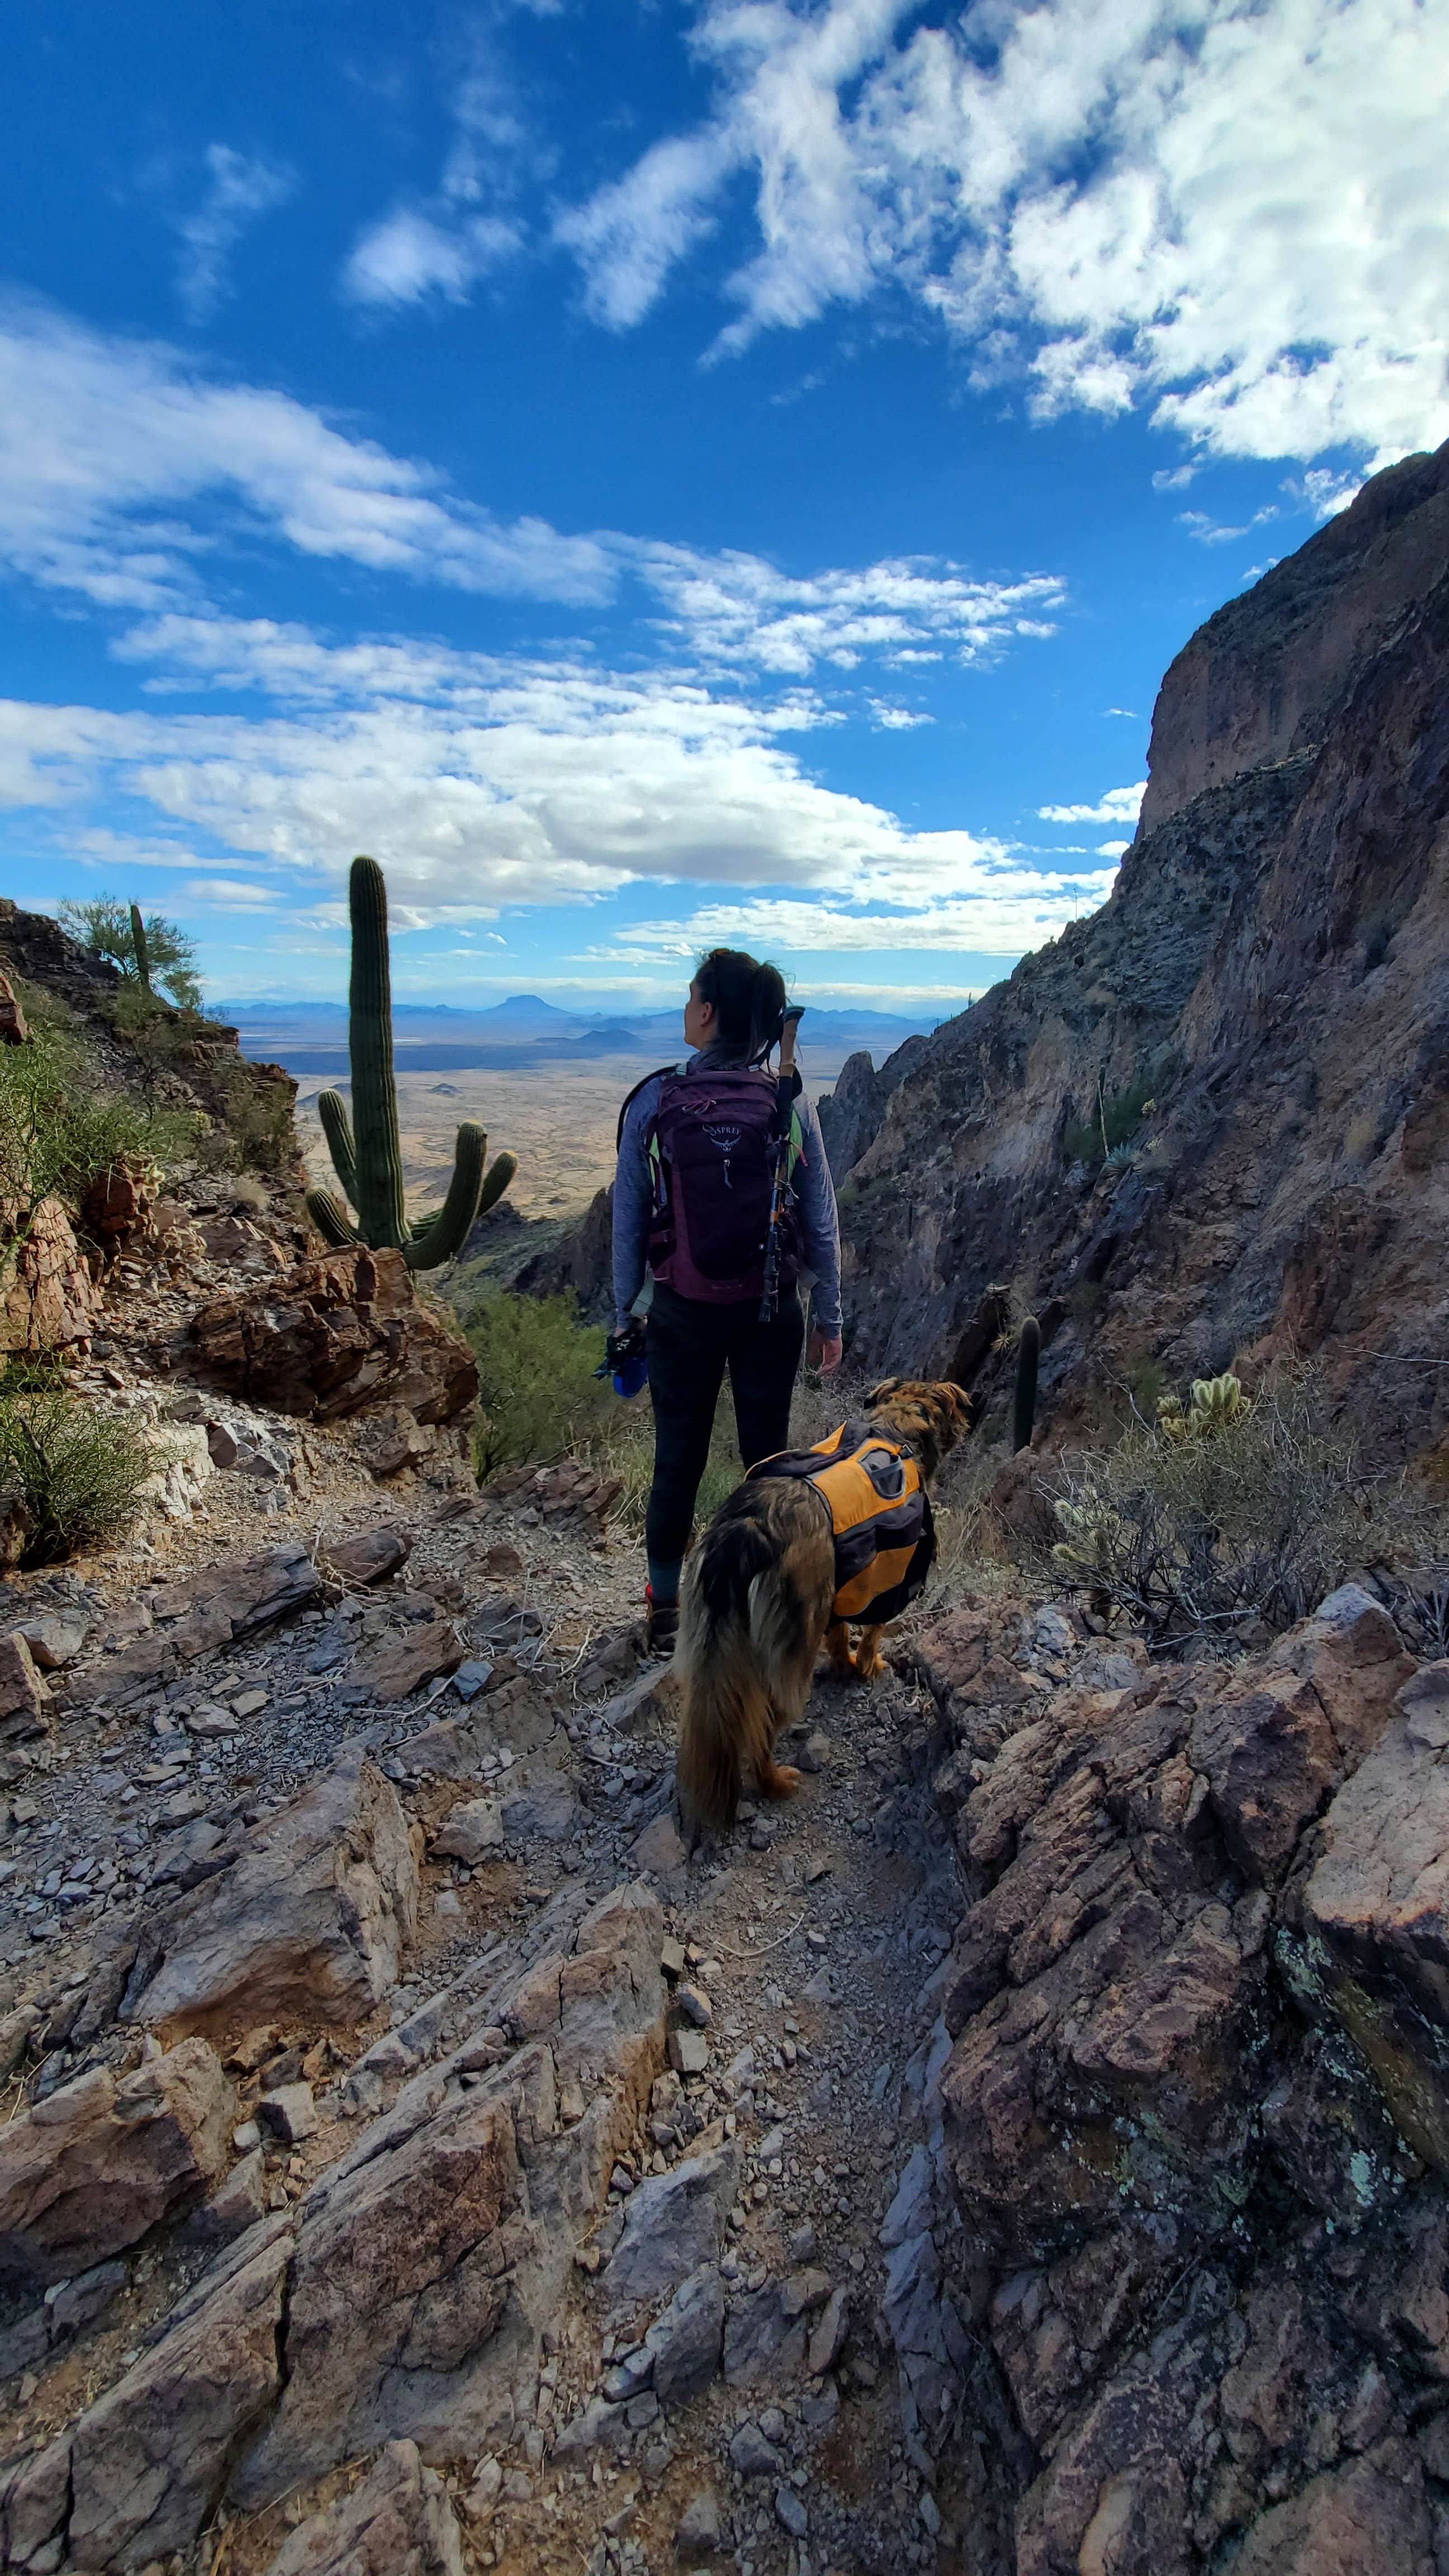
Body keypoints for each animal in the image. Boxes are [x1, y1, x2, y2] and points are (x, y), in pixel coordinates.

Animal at [675, 1391, 969, 1834]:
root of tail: (748, 1529)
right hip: (789, 1663)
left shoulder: (839, 1592)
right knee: (763, 1729)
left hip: (707, 1649)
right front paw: (867, 1666)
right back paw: (776, 1783)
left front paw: (843, 1665)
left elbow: (839, 1634)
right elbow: (872, 1634)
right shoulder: (890, 1584)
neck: (896, 1431)